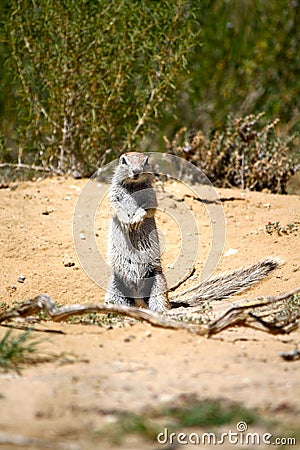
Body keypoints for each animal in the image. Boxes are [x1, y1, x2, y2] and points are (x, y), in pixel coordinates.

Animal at [104, 153, 280, 312]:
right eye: (124, 161)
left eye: (146, 161)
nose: (136, 171)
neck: (133, 186)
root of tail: (138, 299)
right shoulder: (114, 195)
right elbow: (115, 207)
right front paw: (128, 220)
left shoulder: (151, 196)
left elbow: (148, 208)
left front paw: (138, 218)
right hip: (115, 284)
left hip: (158, 282)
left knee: (160, 303)